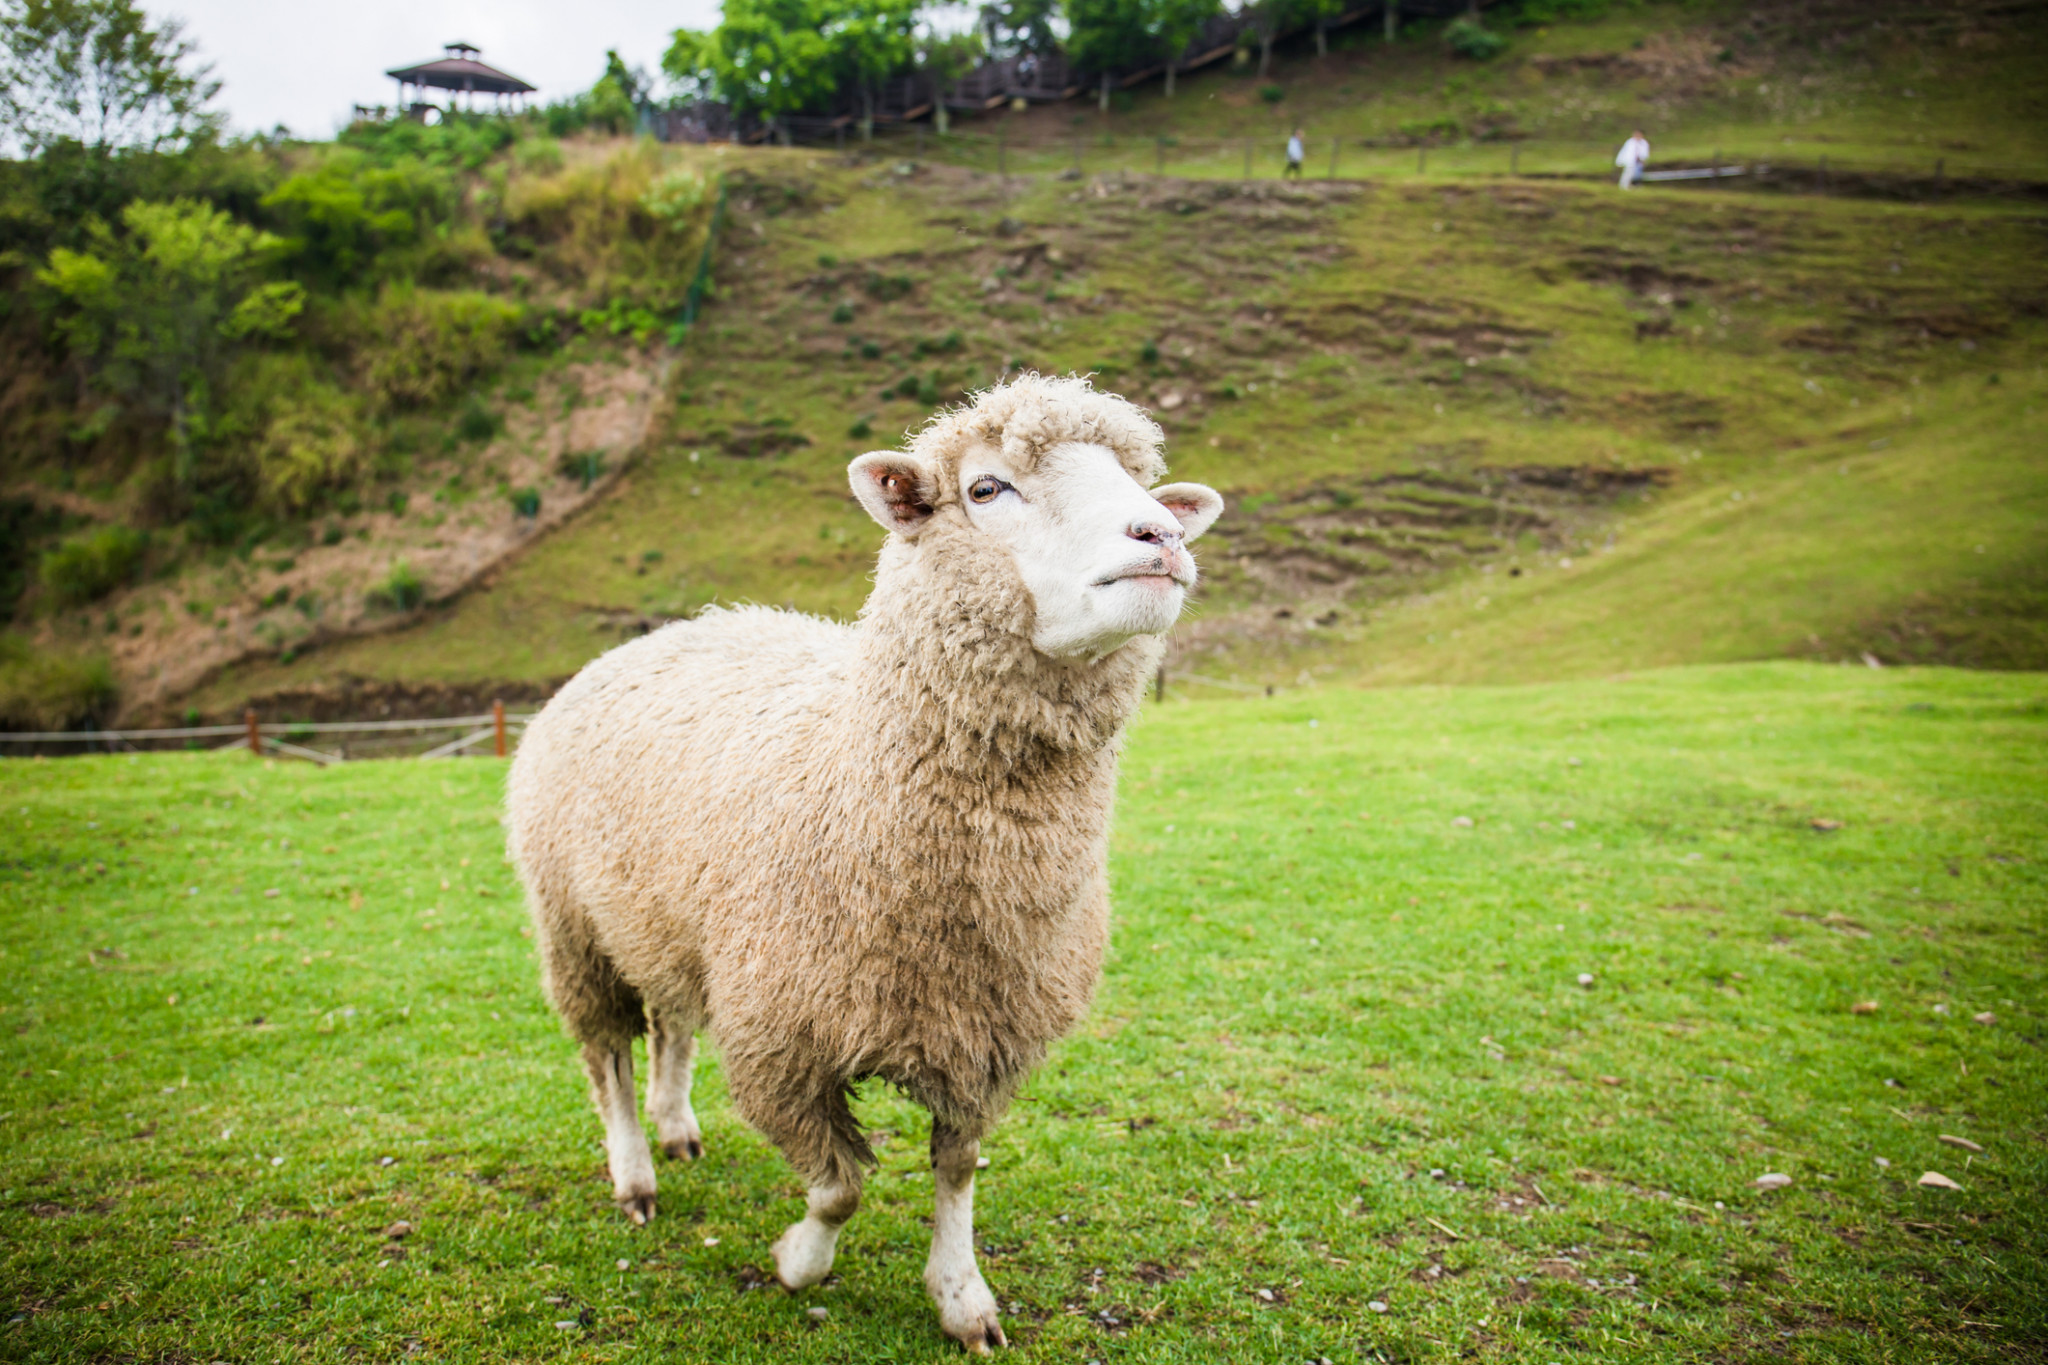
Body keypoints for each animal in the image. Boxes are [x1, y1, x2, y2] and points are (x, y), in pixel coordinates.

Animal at [505, 374, 1220, 1358]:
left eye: (1141, 481)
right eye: (986, 487)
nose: (1161, 535)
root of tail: (668, 632)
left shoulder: (981, 1038)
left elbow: (958, 1168)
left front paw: (961, 1296)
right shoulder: (781, 1042)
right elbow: (840, 1185)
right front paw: (797, 1261)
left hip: (670, 917)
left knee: (674, 1023)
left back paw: (678, 1125)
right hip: (572, 925)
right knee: (606, 1050)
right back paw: (636, 1173)